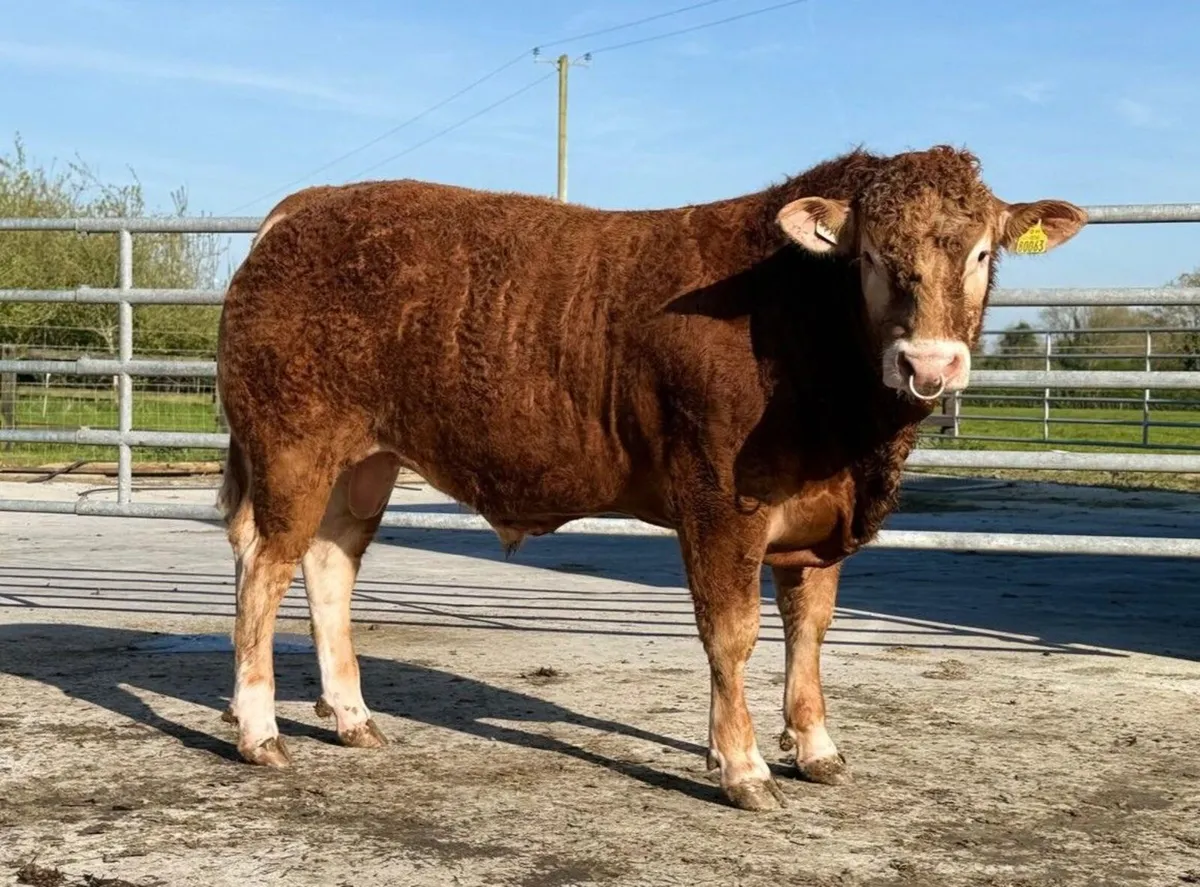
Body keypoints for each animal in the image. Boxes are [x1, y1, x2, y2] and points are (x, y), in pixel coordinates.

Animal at [214, 145, 1086, 811]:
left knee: (329, 563)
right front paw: (742, 767)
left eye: (981, 253)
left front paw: (816, 746)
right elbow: (732, 634)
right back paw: (260, 730)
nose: (928, 364)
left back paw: (351, 716)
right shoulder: (719, 500)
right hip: (291, 445)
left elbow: (809, 630)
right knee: (265, 567)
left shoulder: (817, 521)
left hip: (365, 462)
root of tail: (309, 205)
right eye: (871, 255)